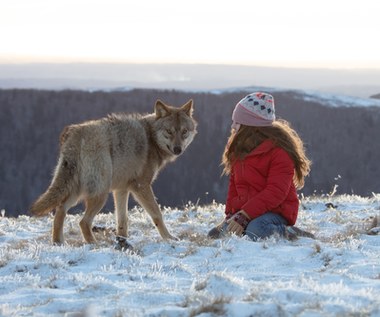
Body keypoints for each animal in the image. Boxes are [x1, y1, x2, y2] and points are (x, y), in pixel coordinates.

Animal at [30, 99, 197, 244]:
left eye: (184, 132)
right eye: (169, 131)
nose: (178, 149)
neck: (151, 139)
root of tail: (75, 133)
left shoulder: (121, 189)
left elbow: (122, 219)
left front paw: (122, 240)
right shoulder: (141, 186)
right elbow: (157, 214)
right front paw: (169, 238)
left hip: (77, 191)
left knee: (60, 210)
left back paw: (58, 242)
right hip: (100, 193)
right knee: (83, 222)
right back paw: (93, 244)